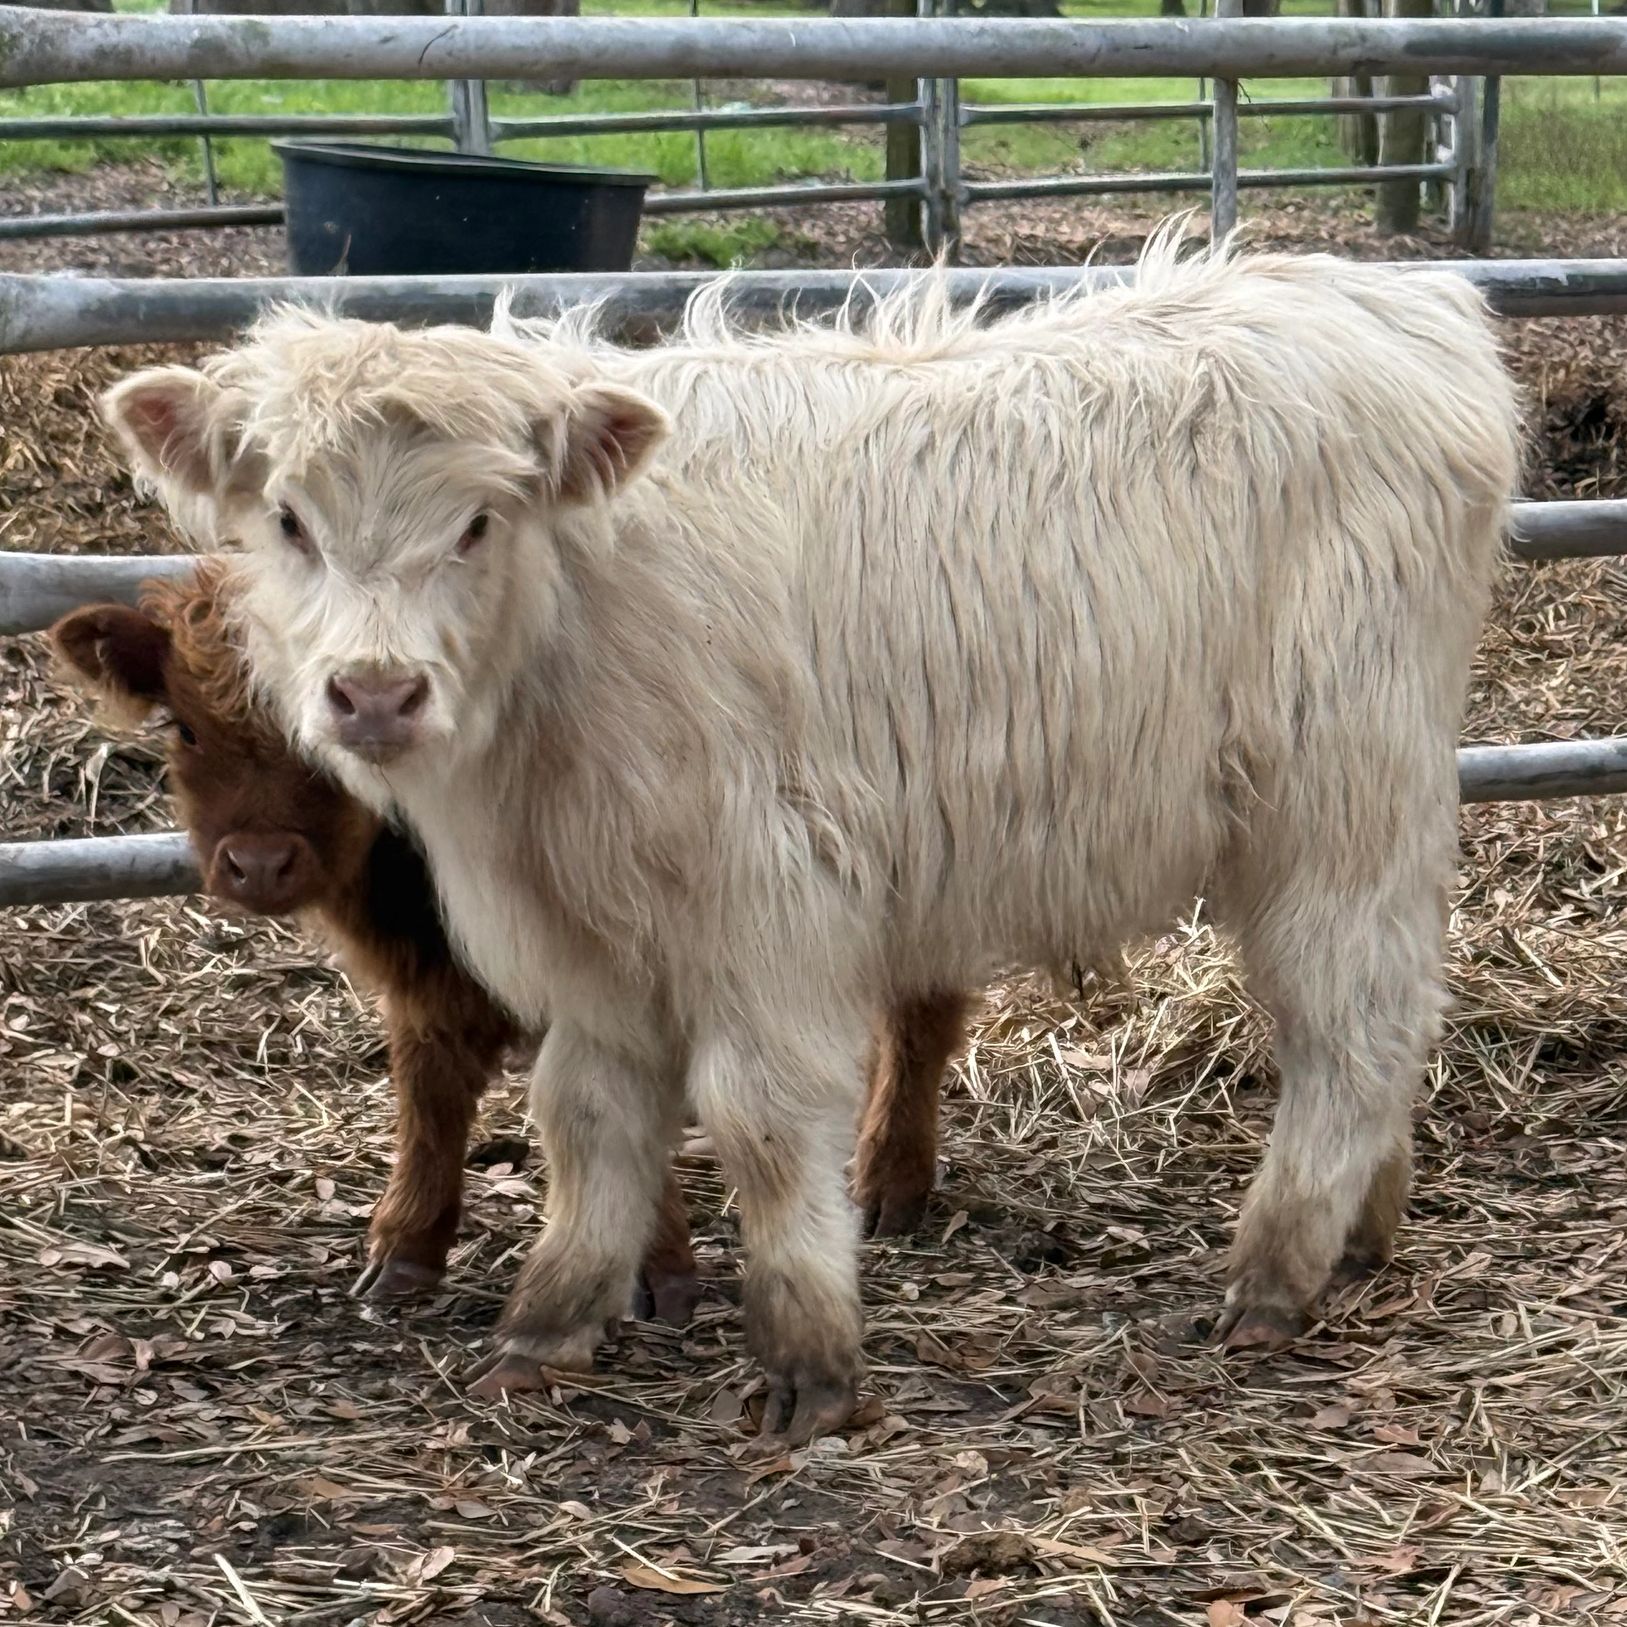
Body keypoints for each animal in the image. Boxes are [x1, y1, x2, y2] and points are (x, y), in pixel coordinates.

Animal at [98, 236, 1521, 1443]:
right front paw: (547, 1325)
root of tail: (1385, 297)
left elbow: (763, 1121)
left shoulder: (769, 903)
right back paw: (1366, 1228)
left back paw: (1279, 1269)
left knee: (1354, 1019)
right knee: (1382, 1014)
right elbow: (585, 1114)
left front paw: (809, 1361)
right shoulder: (588, 937)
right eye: (290, 518)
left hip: (1339, 801)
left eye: (478, 519)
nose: (376, 693)